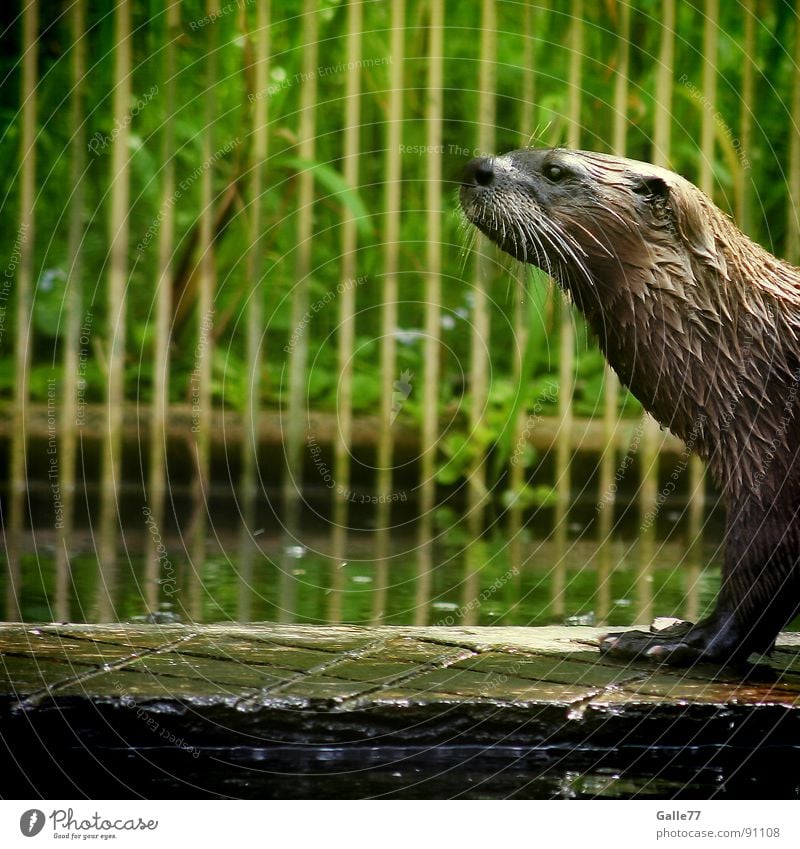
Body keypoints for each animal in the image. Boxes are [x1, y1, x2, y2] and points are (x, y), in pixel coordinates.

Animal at [460, 146, 800, 664]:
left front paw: (685, 641)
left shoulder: (774, 457)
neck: (748, 345)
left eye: (555, 170)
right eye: (514, 152)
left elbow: (761, 564)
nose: (476, 168)